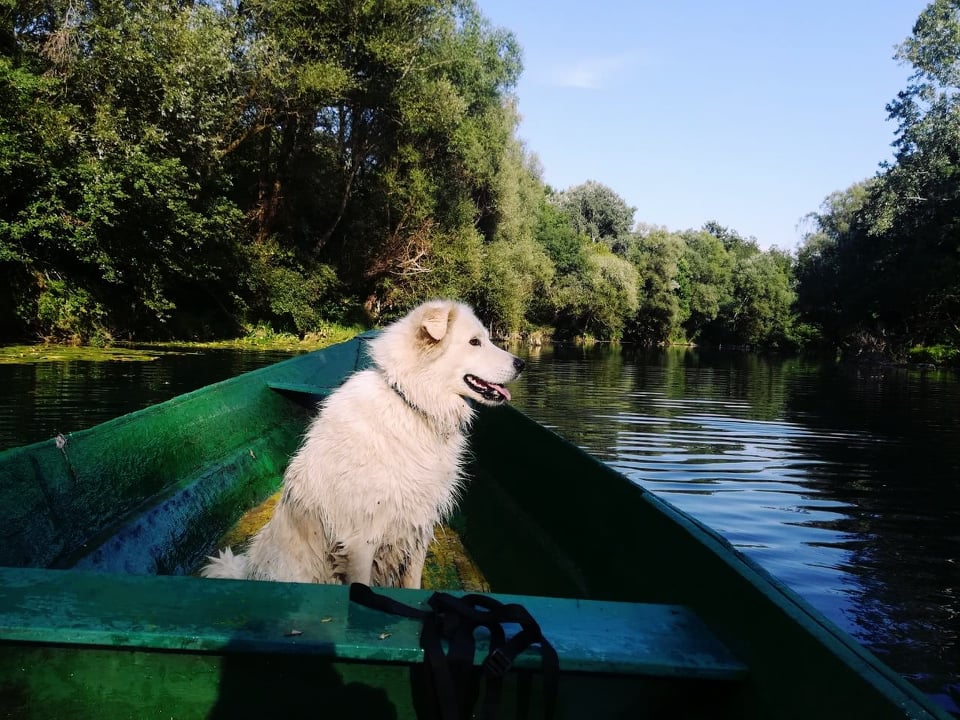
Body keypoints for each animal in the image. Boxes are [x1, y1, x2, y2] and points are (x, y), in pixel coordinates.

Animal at [202, 298, 524, 584]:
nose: (521, 364)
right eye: (474, 342)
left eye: (486, 339)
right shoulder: (361, 540)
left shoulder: (417, 527)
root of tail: (247, 572)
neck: (411, 404)